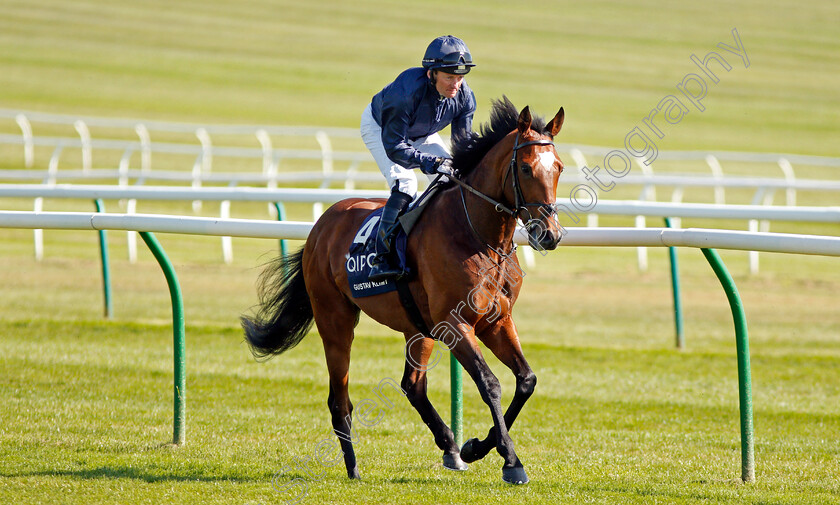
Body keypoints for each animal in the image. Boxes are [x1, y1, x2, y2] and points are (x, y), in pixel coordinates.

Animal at [246, 97, 568, 484]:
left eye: (559, 168)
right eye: (525, 167)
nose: (550, 234)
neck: (478, 236)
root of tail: (320, 225)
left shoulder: (496, 321)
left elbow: (526, 380)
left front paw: (474, 447)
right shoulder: (455, 324)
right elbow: (489, 383)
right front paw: (510, 460)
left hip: (418, 328)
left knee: (412, 385)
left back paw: (450, 447)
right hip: (334, 319)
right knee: (339, 398)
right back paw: (352, 465)